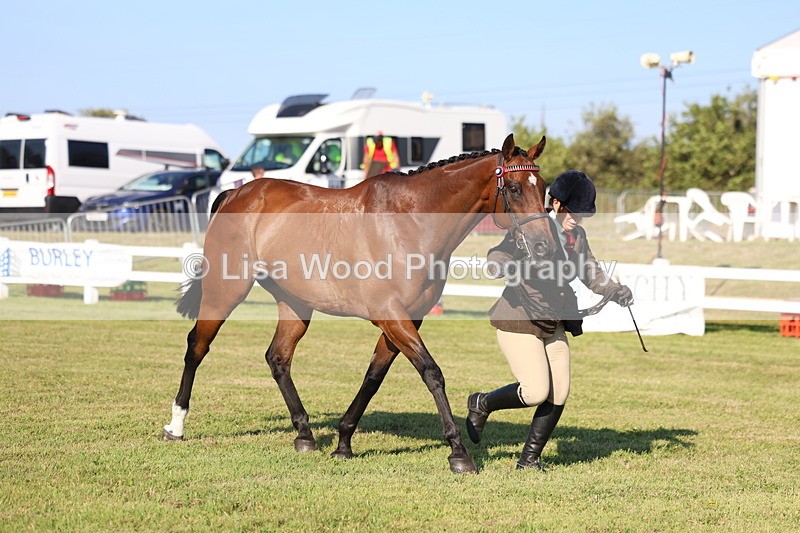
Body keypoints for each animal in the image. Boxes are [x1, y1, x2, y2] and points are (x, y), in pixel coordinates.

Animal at [163, 133, 556, 473]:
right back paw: (176, 425)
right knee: (197, 346)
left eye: (544, 189)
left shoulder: (404, 321)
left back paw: (305, 434)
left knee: (278, 358)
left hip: (295, 304)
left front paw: (343, 443)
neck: (409, 223)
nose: (544, 247)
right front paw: (459, 453)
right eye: (515, 188)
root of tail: (236, 193)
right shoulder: (392, 317)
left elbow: (373, 377)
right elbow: (432, 373)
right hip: (225, 291)